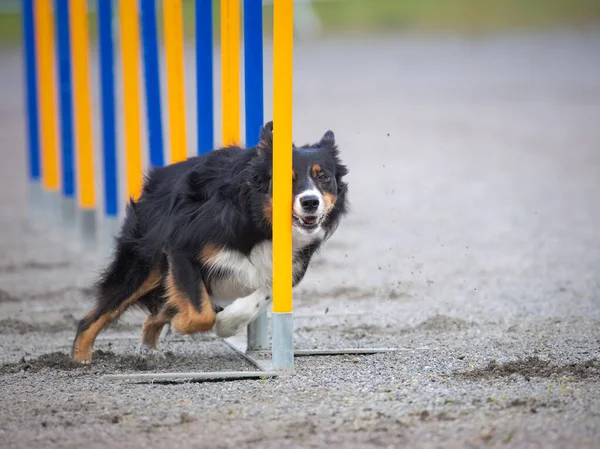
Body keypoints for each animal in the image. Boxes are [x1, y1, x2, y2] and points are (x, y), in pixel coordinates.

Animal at [72, 121, 350, 362]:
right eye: (285, 178)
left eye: (323, 177)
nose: (310, 202)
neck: (259, 220)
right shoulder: (182, 249)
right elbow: (200, 314)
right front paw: (186, 324)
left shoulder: (291, 265)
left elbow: (261, 295)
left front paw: (227, 324)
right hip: (144, 266)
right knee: (94, 317)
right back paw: (80, 359)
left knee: (154, 315)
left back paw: (148, 352)